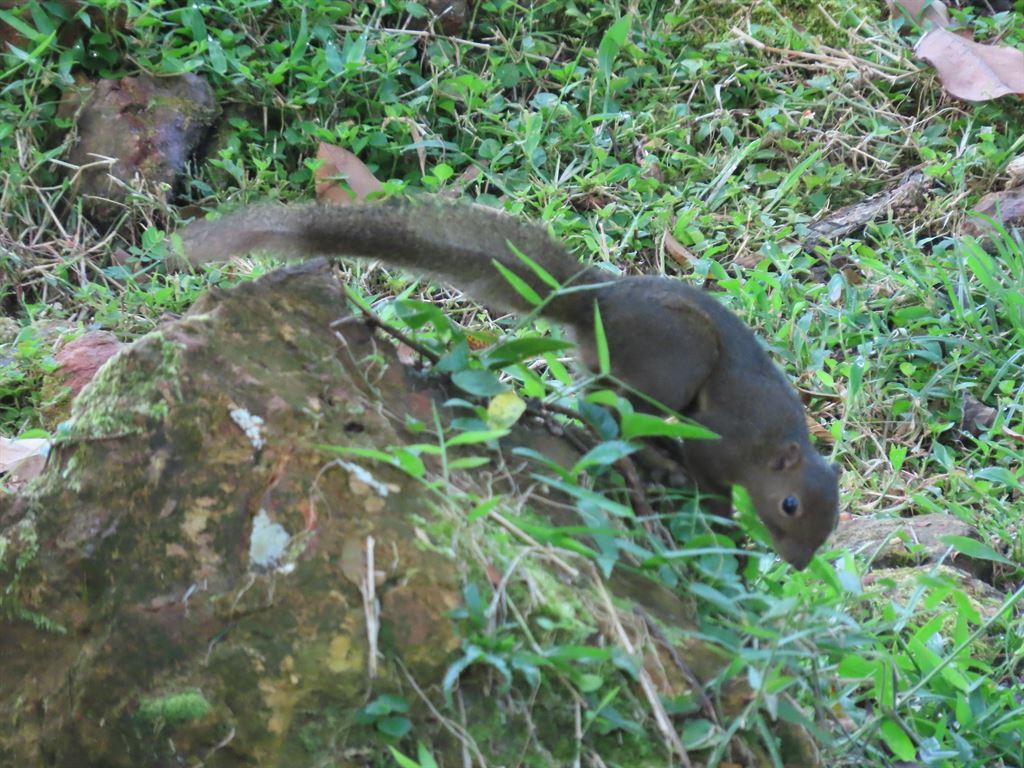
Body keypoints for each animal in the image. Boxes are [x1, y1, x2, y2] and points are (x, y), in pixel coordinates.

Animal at [180, 198, 841, 570]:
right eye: (789, 505)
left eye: (830, 525)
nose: (799, 565)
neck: (766, 447)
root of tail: (596, 302)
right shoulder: (722, 439)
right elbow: (711, 485)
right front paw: (723, 527)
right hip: (674, 362)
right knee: (606, 406)